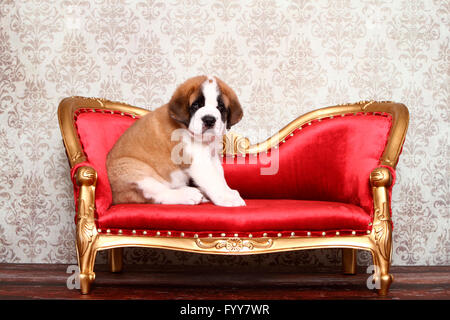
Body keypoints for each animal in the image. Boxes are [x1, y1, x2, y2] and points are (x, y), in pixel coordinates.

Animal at [106, 76, 246, 209]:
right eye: (196, 105)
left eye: (220, 107)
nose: (209, 120)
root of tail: (115, 197)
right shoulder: (198, 161)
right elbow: (213, 180)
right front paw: (227, 198)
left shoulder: (211, 156)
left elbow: (219, 176)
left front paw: (229, 192)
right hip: (132, 169)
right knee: (159, 194)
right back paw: (188, 194)